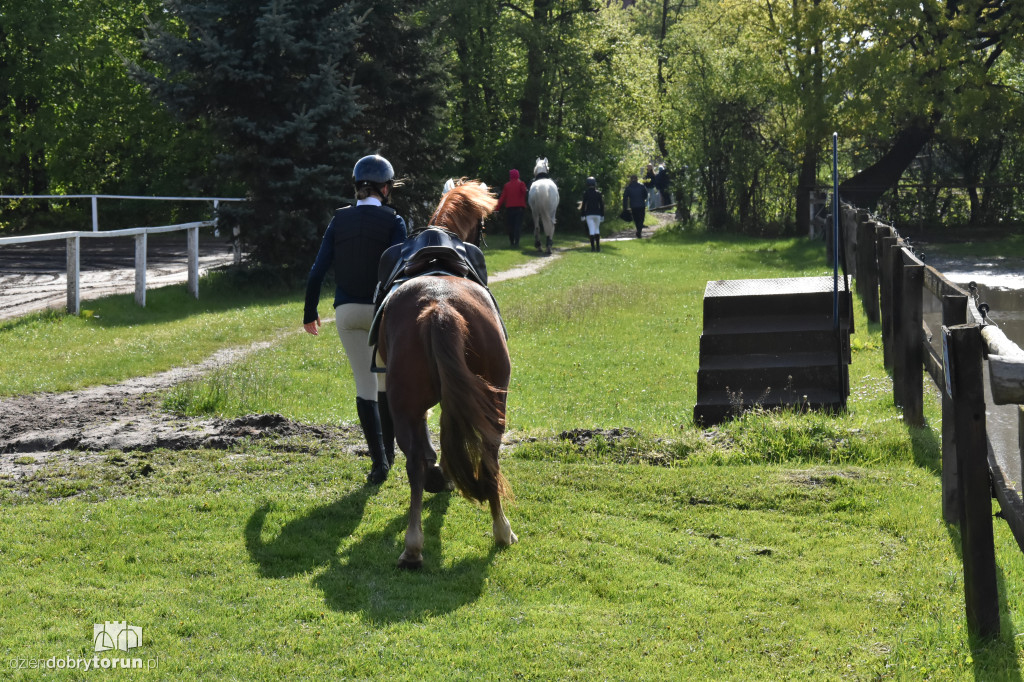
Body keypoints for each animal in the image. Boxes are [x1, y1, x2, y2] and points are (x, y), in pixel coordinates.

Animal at [376, 180, 516, 569]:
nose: (485, 238)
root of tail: (439, 305)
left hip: (405, 405)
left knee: (415, 462)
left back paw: (413, 545)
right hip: (492, 398)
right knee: (487, 454)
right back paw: (500, 530)